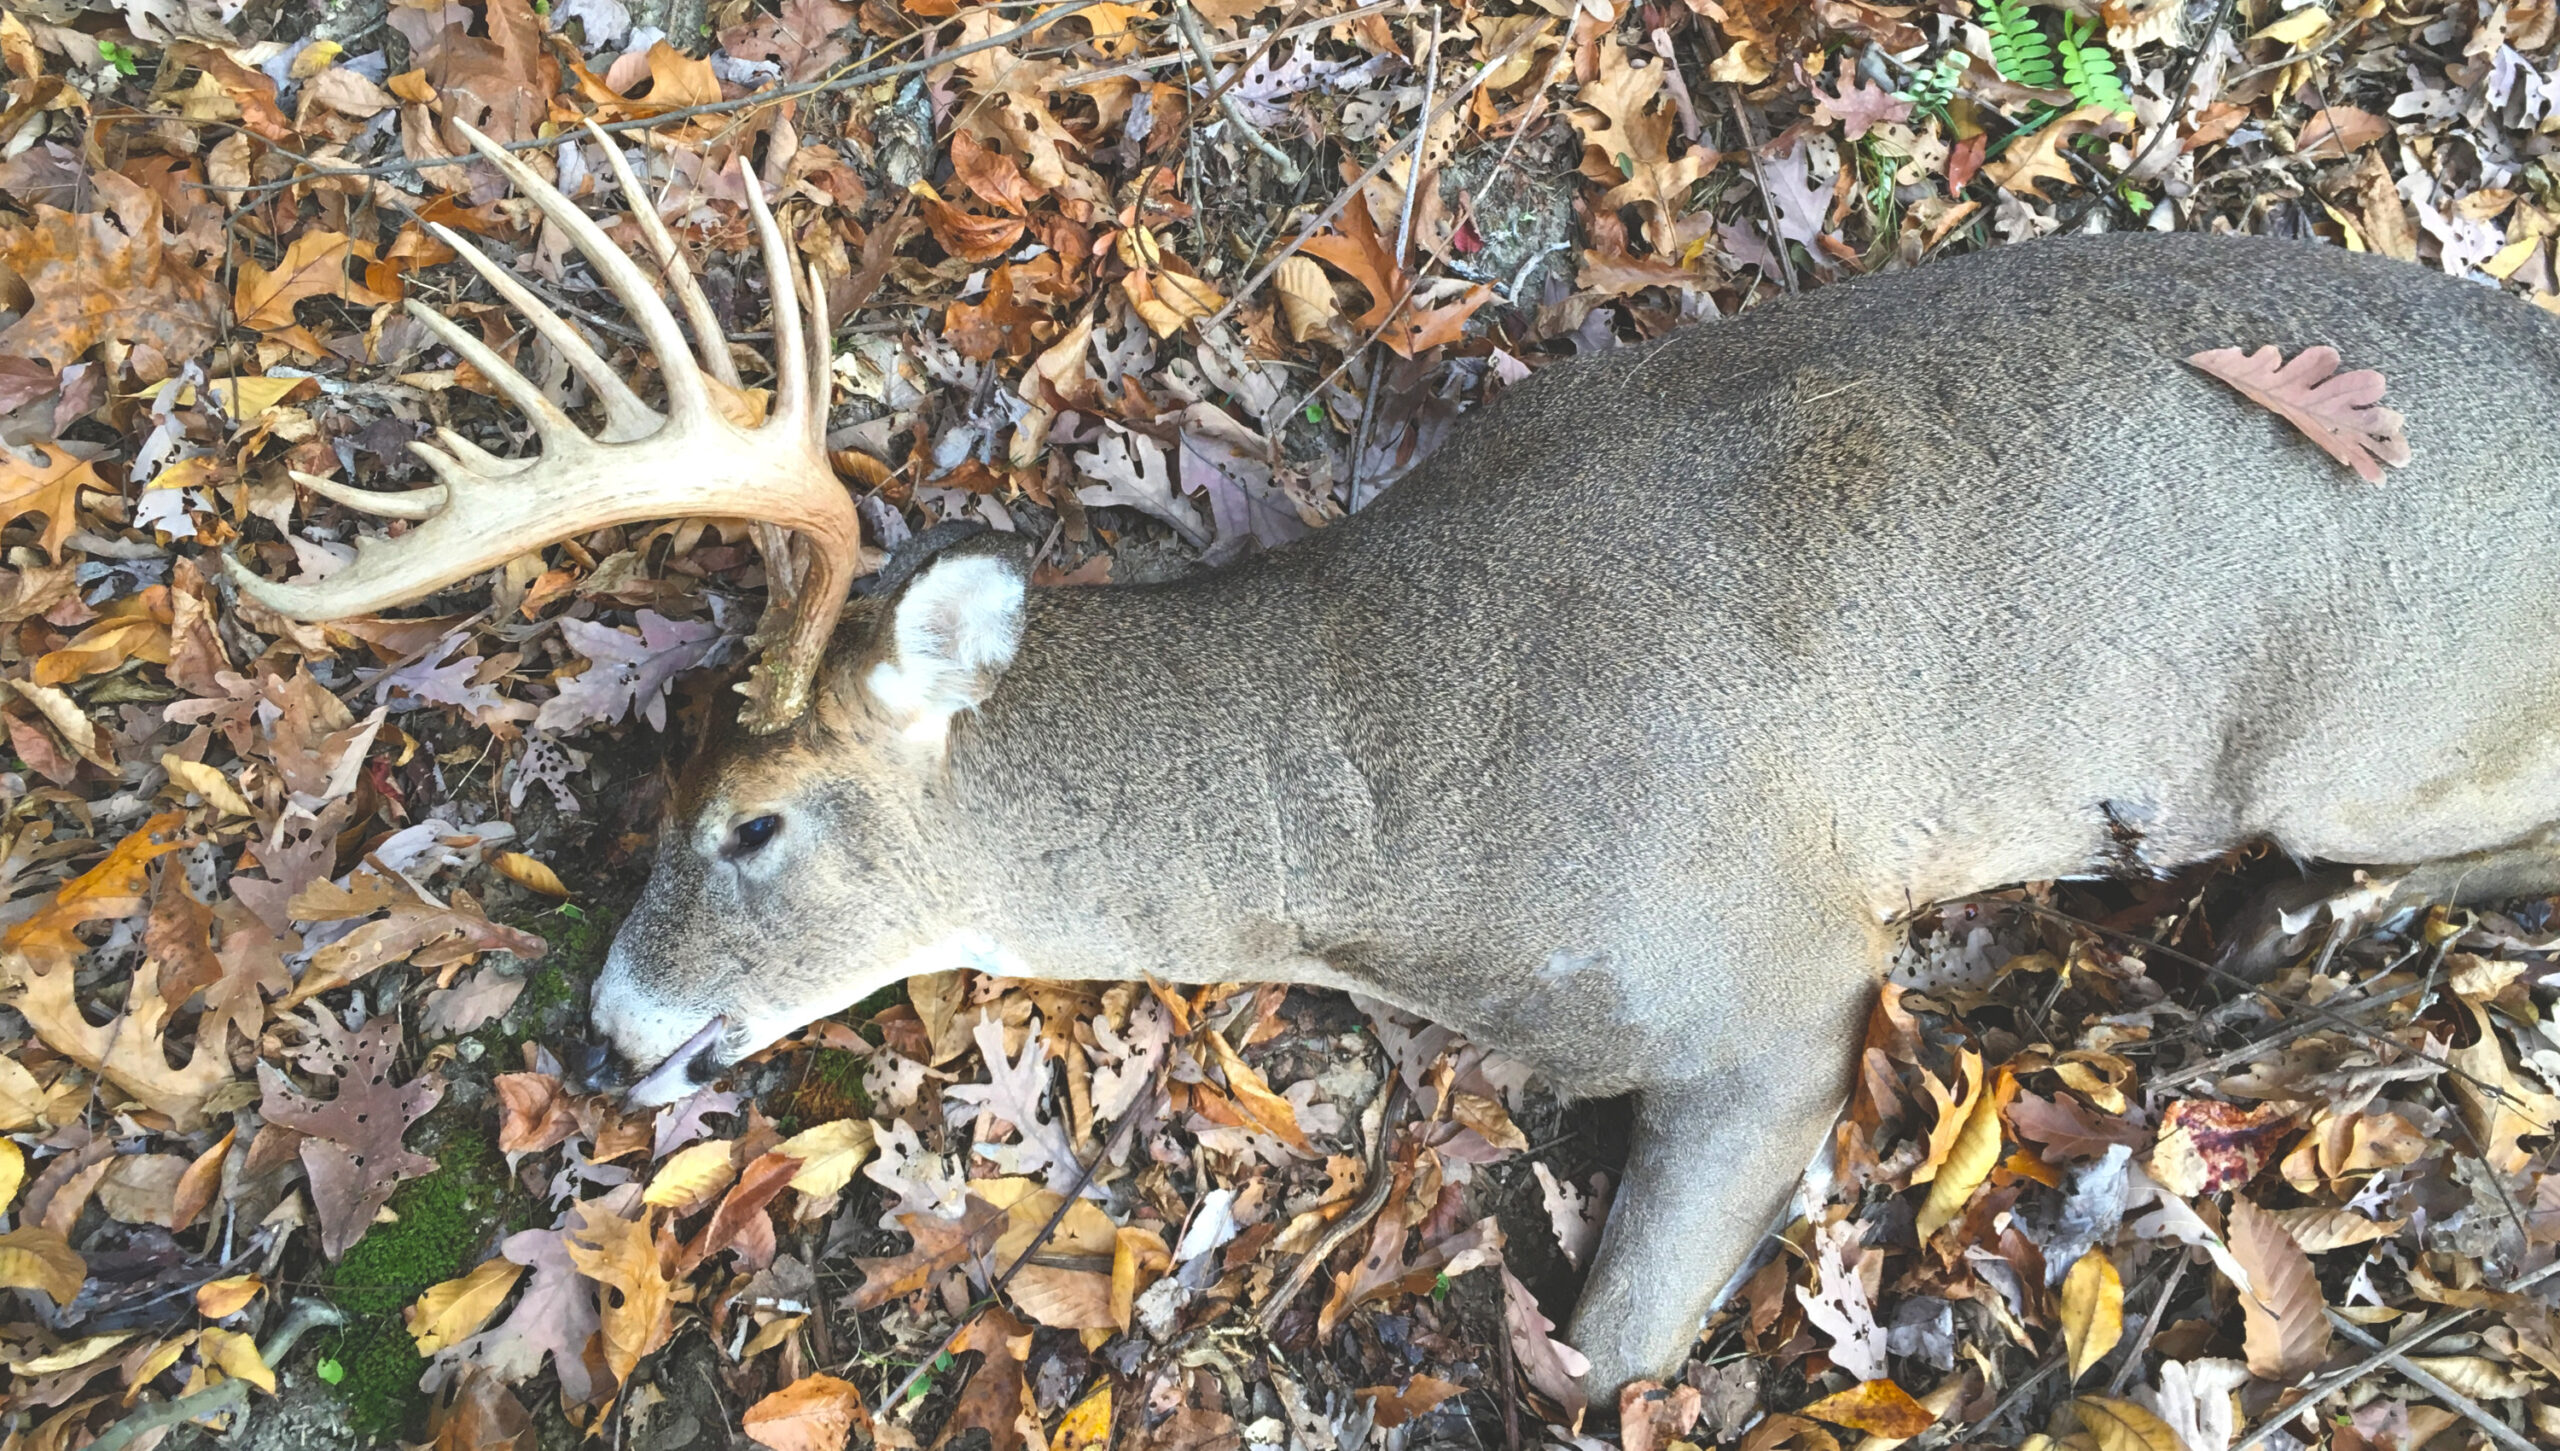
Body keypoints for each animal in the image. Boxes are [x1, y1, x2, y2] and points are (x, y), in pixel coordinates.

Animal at [227, 119, 2560, 1396]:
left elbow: (1606, 1355)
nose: (611, 1028)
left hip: (2358, 727)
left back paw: (2274, 928)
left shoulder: (1775, 966)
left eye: (751, 821)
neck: (1373, 806)